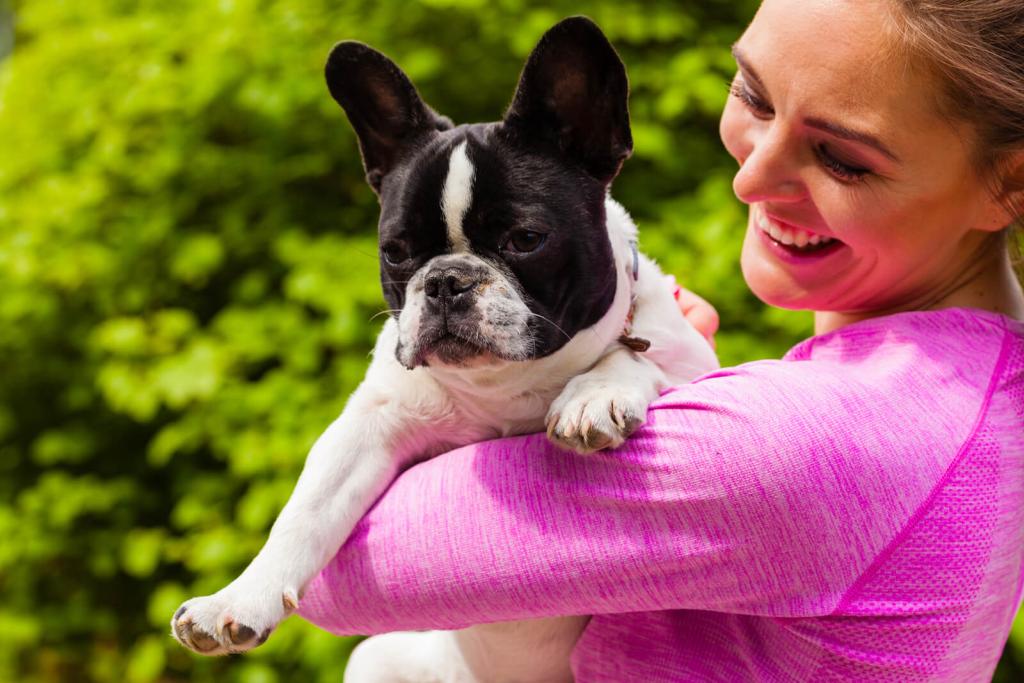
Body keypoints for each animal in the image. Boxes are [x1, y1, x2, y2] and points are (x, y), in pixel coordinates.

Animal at [172, 15, 716, 683]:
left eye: (526, 239)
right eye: (396, 252)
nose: (446, 280)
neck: (508, 383)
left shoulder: (694, 361)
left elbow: (633, 352)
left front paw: (594, 393)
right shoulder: (370, 427)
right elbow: (305, 511)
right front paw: (237, 597)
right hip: (382, 656)